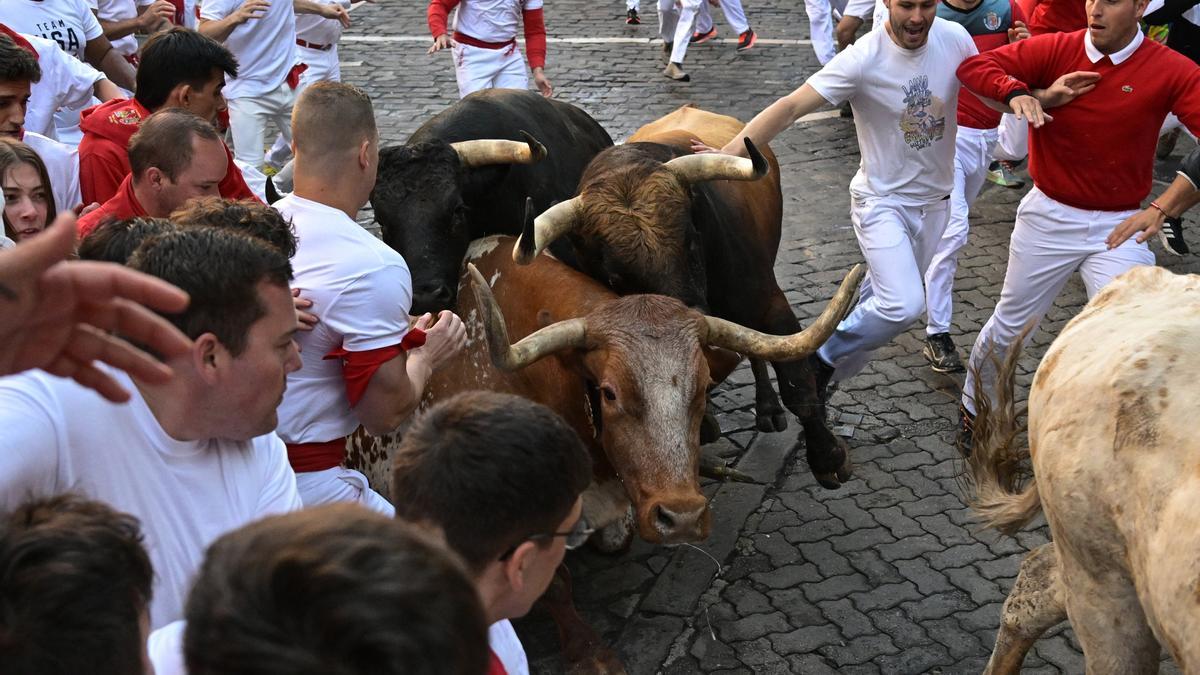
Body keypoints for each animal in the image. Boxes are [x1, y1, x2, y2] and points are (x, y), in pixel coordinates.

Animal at [516, 102, 854, 485]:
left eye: (691, 241)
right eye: (615, 276)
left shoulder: (769, 305)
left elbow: (796, 381)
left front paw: (827, 457)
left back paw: (768, 407)